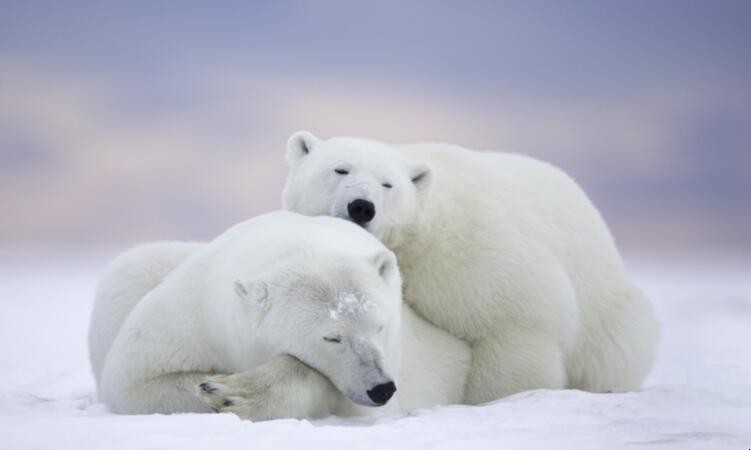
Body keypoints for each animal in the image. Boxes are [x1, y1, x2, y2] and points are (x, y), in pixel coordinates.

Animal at [89, 211, 470, 418]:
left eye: (380, 326)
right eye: (332, 337)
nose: (381, 388)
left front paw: (233, 393)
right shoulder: (196, 313)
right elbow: (135, 379)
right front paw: (216, 388)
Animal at [282, 130, 656, 404]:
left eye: (388, 184)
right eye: (340, 169)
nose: (361, 206)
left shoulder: (473, 255)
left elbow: (516, 322)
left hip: (607, 312)